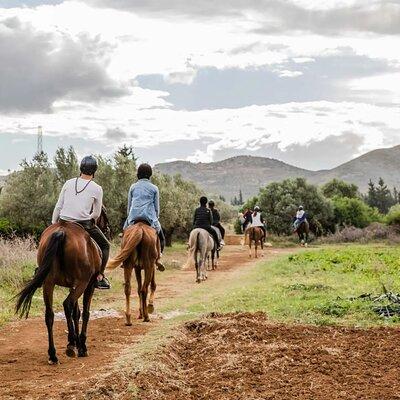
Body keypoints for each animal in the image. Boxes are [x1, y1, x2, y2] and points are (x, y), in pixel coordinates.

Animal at [15, 220, 103, 364]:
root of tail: (62, 230)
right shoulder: (89, 285)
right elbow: (84, 313)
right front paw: (82, 346)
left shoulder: (72, 285)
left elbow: (76, 313)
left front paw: (77, 344)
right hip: (83, 282)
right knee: (67, 304)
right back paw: (71, 345)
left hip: (48, 283)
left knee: (49, 315)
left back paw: (53, 355)